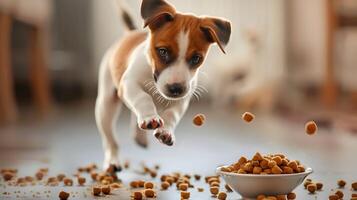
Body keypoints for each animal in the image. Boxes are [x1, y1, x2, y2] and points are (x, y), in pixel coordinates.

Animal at [94, 0, 231, 170]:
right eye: (163, 51)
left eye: (196, 58)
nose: (176, 89)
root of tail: (130, 33)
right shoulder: (128, 84)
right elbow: (143, 97)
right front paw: (150, 117)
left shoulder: (182, 99)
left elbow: (172, 114)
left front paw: (166, 131)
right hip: (105, 105)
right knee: (110, 141)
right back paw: (113, 160)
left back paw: (139, 137)